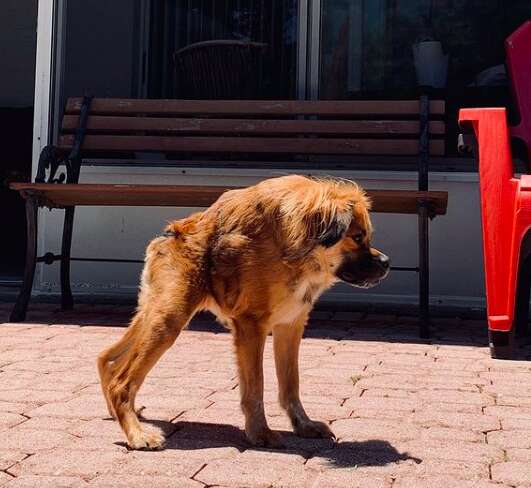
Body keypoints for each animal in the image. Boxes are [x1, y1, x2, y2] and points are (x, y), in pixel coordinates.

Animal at [97, 174, 390, 450]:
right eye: (357, 237)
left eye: (367, 236)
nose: (387, 262)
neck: (292, 242)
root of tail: (170, 234)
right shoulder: (252, 325)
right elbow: (256, 386)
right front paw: (260, 432)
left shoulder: (290, 325)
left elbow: (290, 384)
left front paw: (302, 425)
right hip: (169, 319)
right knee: (121, 381)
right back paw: (136, 434)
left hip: (154, 312)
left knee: (107, 358)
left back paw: (121, 413)